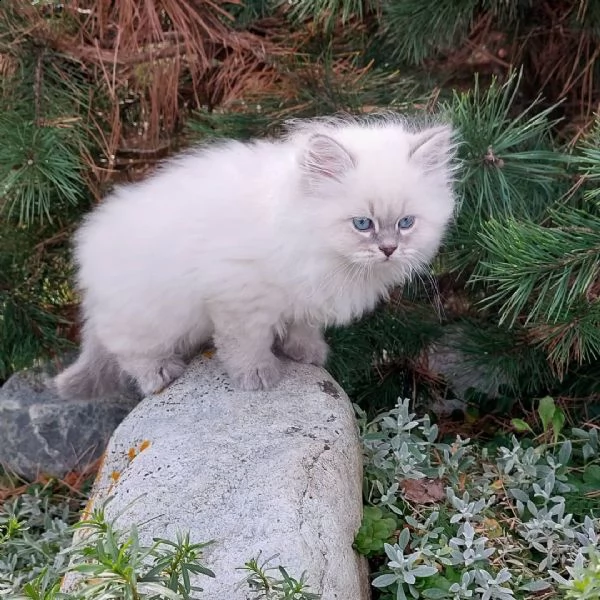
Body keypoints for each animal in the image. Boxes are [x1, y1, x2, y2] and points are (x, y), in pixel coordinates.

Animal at [56, 116, 458, 398]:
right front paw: (257, 375)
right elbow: (245, 343)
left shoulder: (306, 293)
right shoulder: (239, 296)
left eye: (406, 223)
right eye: (363, 224)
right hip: (149, 316)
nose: (389, 249)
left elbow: (303, 326)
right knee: (125, 347)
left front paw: (307, 352)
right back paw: (158, 373)